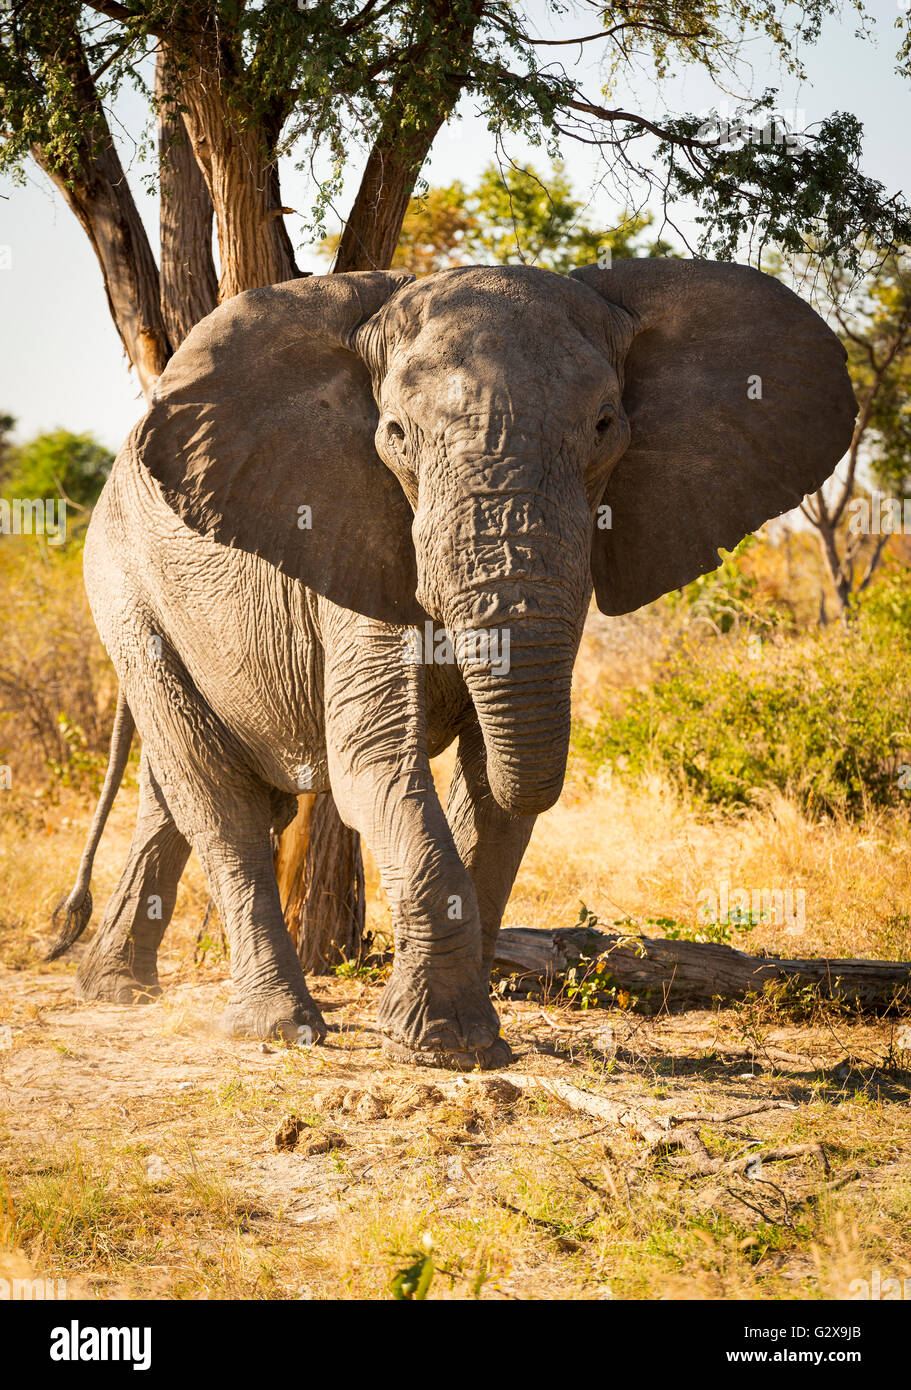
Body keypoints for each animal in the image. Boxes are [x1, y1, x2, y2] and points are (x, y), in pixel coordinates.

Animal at [50, 255, 856, 1067]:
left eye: (605, 425)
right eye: (396, 434)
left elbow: (492, 788)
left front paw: (449, 1039)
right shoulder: (357, 537)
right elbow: (373, 760)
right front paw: (439, 1045)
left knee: (178, 793)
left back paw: (113, 989)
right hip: (126, 591)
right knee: (219, 798)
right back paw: (274, 1028)